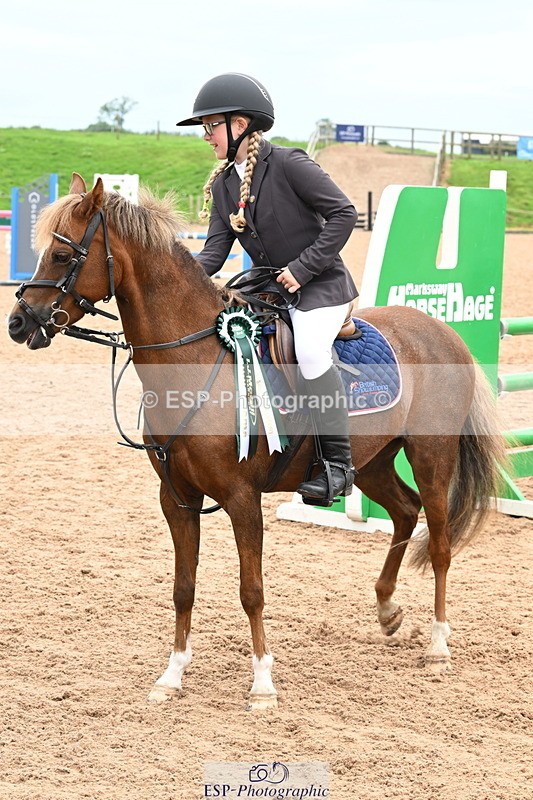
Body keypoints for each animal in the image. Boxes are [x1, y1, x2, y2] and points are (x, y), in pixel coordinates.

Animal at [7, 173, 506, 709]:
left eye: (63, 256)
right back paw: (388, 610)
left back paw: (438, 645)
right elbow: (183, 586)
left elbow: (252, 590)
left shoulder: (242, 498)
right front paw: (172, 675)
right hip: (371, 463)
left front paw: (263, 684)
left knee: (439, 543)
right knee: (404, 512)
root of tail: (442, 331)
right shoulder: (177, 498)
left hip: (432, 455)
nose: (18, 323)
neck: (196, 358)